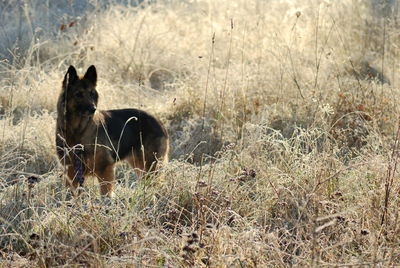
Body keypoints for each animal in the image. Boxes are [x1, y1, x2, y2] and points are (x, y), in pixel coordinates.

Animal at [55, 64, 169, 195]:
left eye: (91, 94)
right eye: (78, 94)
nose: (93, 109)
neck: (78, 130)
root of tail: (159, 121)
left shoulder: (105, 169)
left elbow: (105, 194)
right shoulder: (71, 171)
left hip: (150, 168)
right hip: (140, 166)